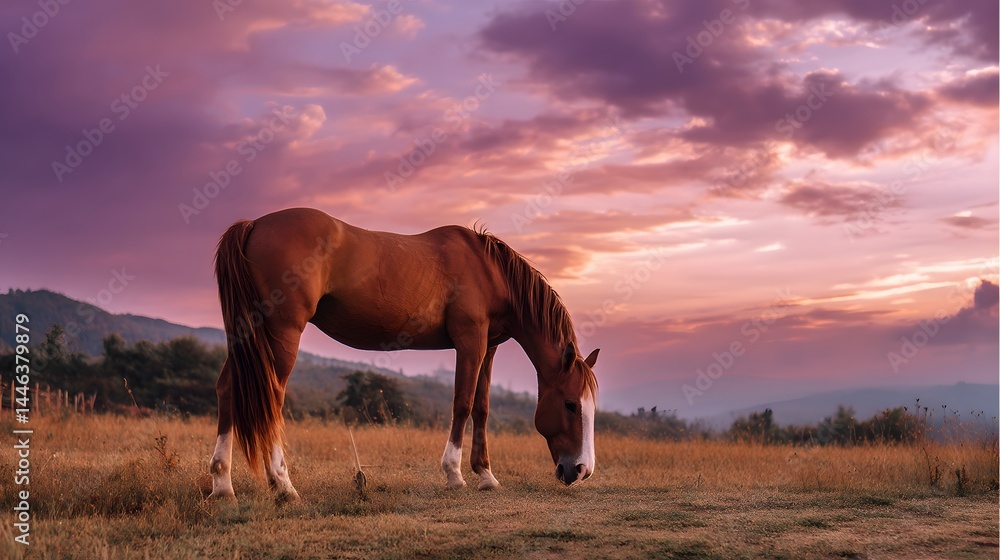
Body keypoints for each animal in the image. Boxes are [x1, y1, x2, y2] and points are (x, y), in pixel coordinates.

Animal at [208, 207, 599, 502]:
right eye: (570, 404)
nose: (580, 471)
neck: (489, 270)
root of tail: (254, 224)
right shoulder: (469, 341)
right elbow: (462, 404)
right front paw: (454, 475)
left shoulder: (488, 347)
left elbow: (482, 408)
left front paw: (486, 475)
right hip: (282, 333)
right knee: (272, 396)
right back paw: (284, 486)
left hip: (249, 336)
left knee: (228, 389)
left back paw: (222, 485)